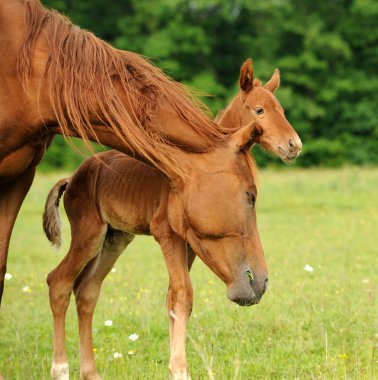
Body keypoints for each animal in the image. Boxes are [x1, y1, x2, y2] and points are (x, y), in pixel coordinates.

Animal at [44, 123, 268, 378]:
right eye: (250, 196)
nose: (261, 282)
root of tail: (71, 179)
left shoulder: (188, 243)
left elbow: (173, 297)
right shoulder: (166, 234)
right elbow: (182, 295)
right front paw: (180, 371)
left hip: (114, 240)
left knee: (87, 289)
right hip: (89, 235)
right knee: (58, 281)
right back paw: (60, 369)